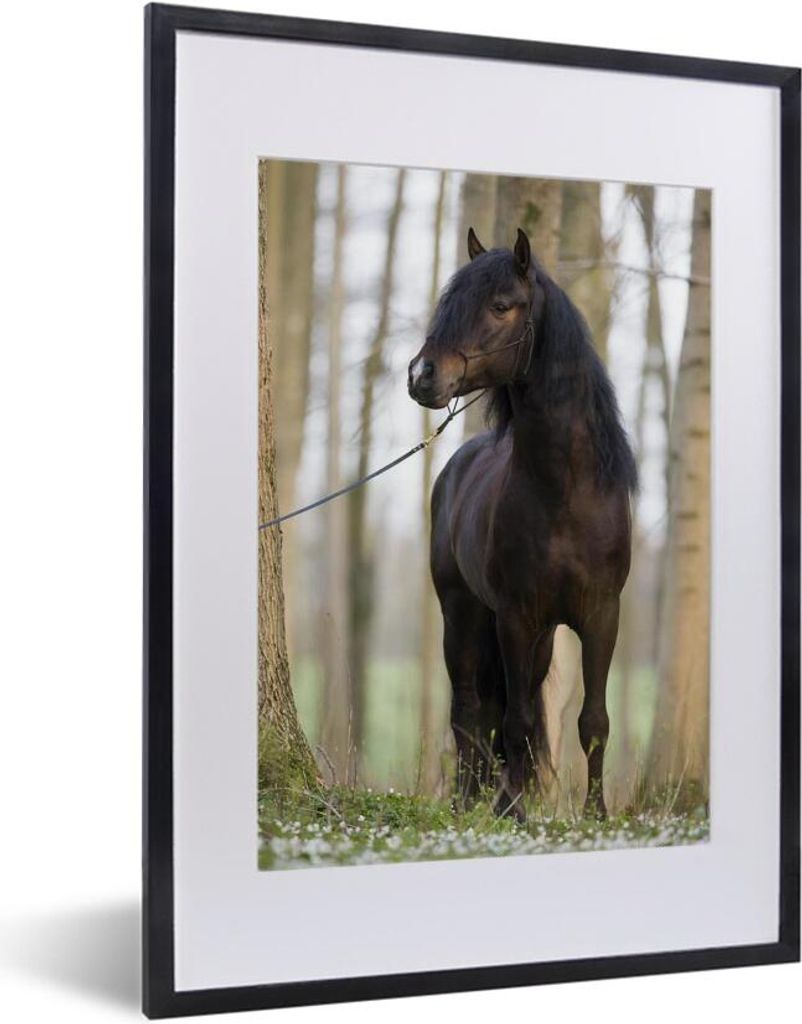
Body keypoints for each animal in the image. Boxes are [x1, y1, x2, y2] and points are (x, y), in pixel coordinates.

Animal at [408, 226, 637, 820]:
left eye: (501, 305)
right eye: (448, 303)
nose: (421, 375)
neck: (566, 492)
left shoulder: (601, 616)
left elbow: (592, 721)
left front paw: (596, 815)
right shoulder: (514, 616)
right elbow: (513, 720)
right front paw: (510, 812)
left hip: (543, 637)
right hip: (463, 613)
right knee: (469, 708)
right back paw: (469, 801)